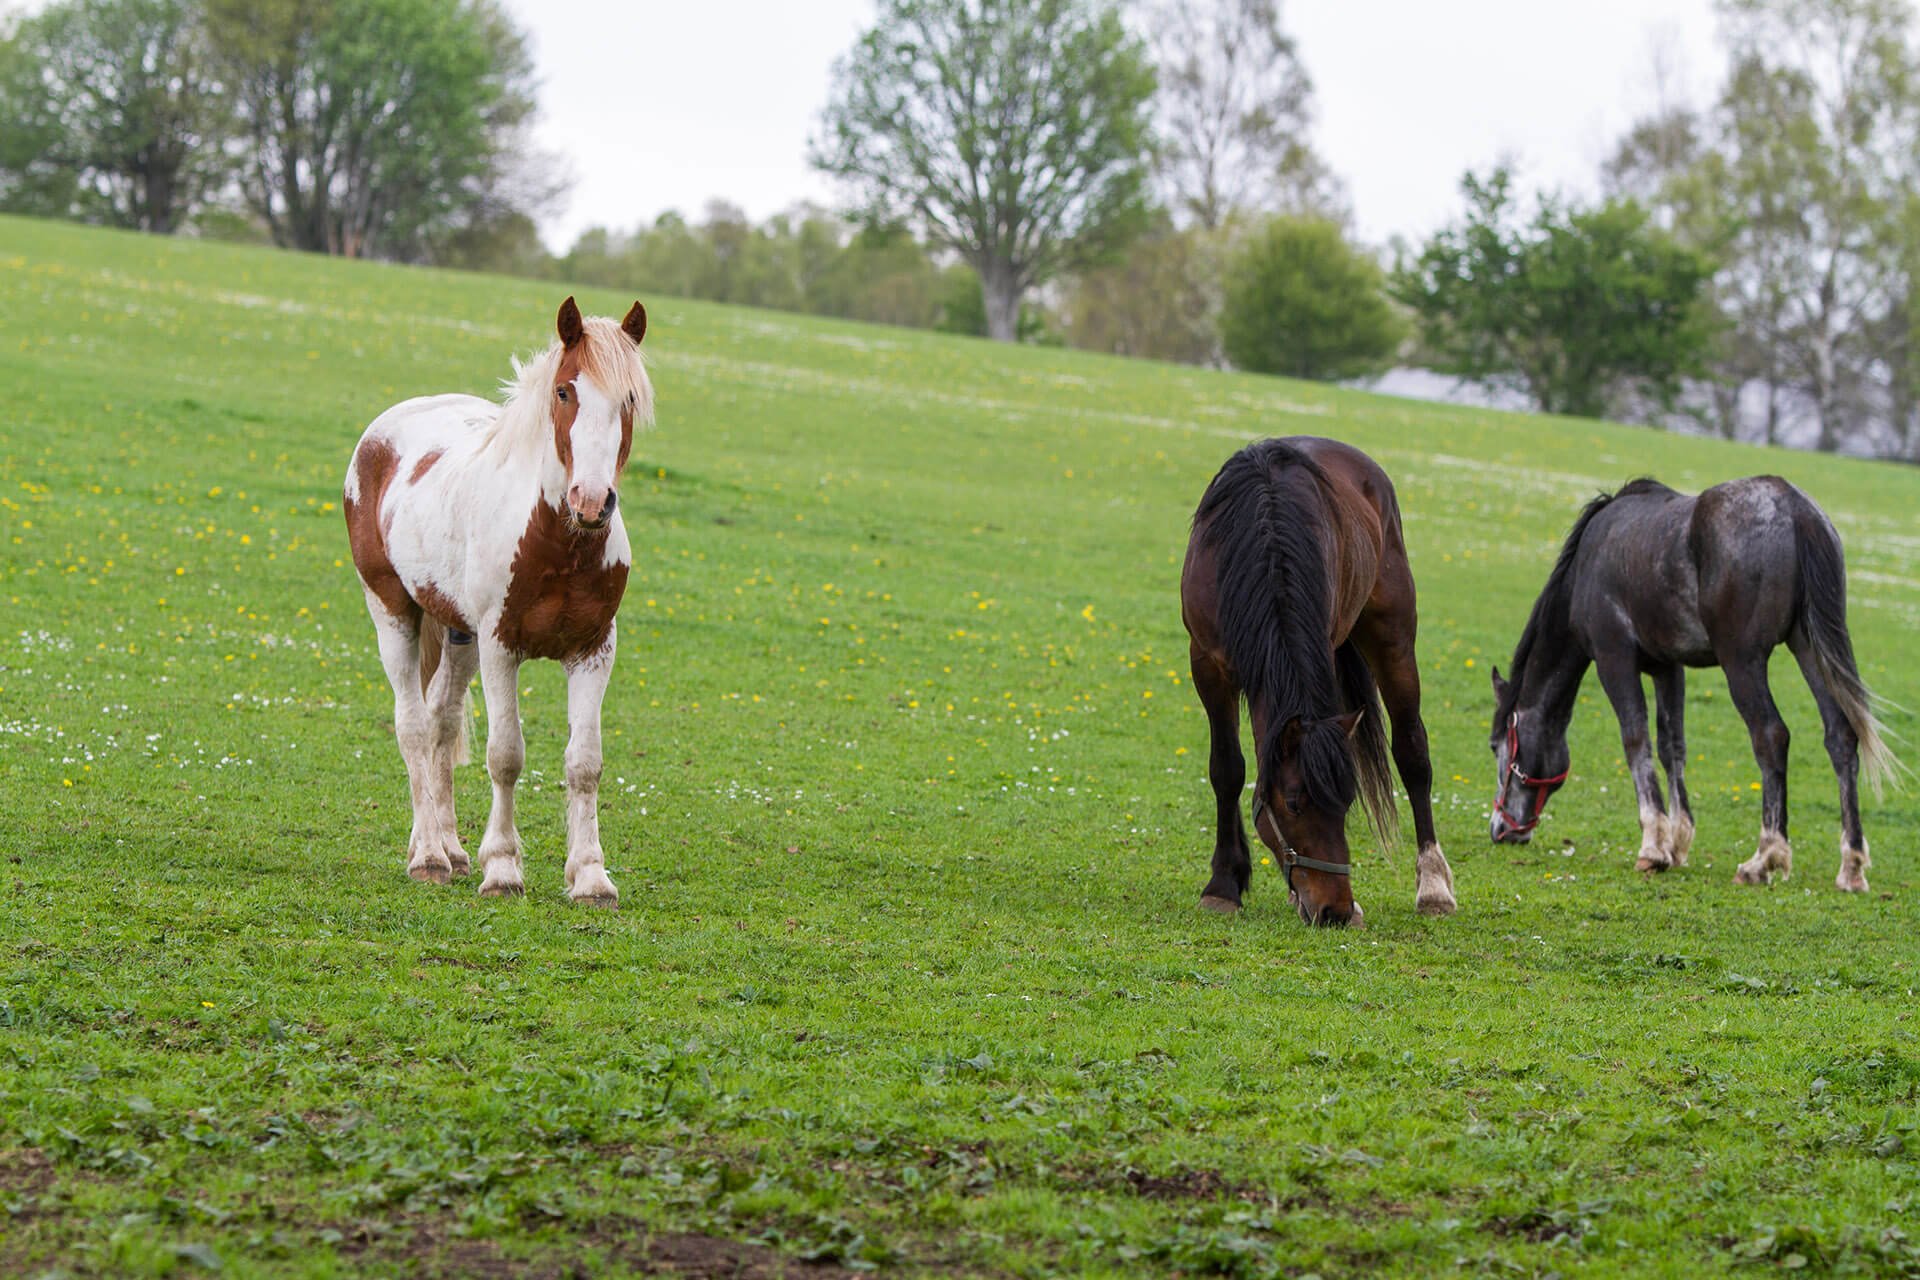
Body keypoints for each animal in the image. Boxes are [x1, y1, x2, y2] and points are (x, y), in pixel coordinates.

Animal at [341, 297, 648, 905]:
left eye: (628, 398)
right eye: (564, 391)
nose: (591, 501)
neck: (558, 544)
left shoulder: (595, 650)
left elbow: (585, 763)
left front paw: (591, 876)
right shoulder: (501, 646)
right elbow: (506, 755)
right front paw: (503, 868)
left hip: (459, 633)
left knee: (441, 723)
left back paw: (451, 848)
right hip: (393, 612)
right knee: (413, 725)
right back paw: (429, 856)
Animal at [1175, 435, 1459, 924]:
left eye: (1346, 802)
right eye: (1293, 803)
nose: (1336, 911)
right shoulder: (1207, 664)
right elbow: (1227, 769)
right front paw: (1224, 885)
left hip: (1394, 639)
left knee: (1412, 753)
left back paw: (1434, 886)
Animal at [1489, 474, 1896, 890]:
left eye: (1495, 747)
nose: (1501, 830)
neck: (1588, 562)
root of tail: (1797, 510)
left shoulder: (1613, 659)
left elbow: (1636, 741)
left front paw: (1653, 845)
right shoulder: (1668, 667)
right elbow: (1672, 746)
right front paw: (1677, 841)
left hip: (1742, 661)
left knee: (1771, 736)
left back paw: (1764, 857)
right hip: (1810, 648)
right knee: (1840, 736)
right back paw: (1851, 864)